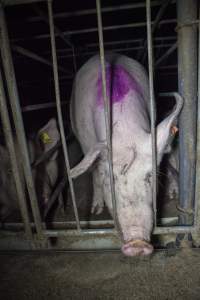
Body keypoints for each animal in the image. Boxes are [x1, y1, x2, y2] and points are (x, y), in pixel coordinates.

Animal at [70, 53, 183, 255]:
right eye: (111, 179)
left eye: (150, 177)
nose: (137, 244)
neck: (124, 131)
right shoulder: (85, 142)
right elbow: (95, 173)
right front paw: (96, 210)